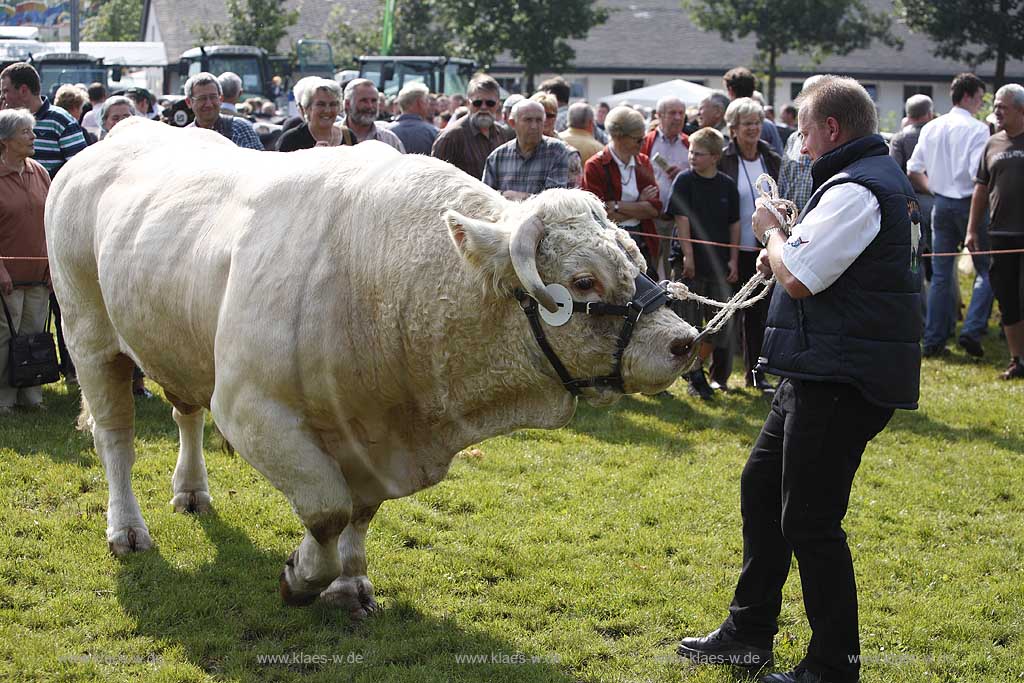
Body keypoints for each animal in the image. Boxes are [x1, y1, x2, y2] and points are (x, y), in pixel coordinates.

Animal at [46, 118, 696, 618]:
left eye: (637, 259)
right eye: (584, 281)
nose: (684, 341)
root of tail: (118, 135)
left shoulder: (373, 439)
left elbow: (359, 512)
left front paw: (350, 582)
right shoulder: (253, 409)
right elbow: (327, 509)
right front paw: (302, 576)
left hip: (174, 343)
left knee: (185, 413)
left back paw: (191, 492)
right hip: (89, 336)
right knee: (116, 440)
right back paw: (127, 530)